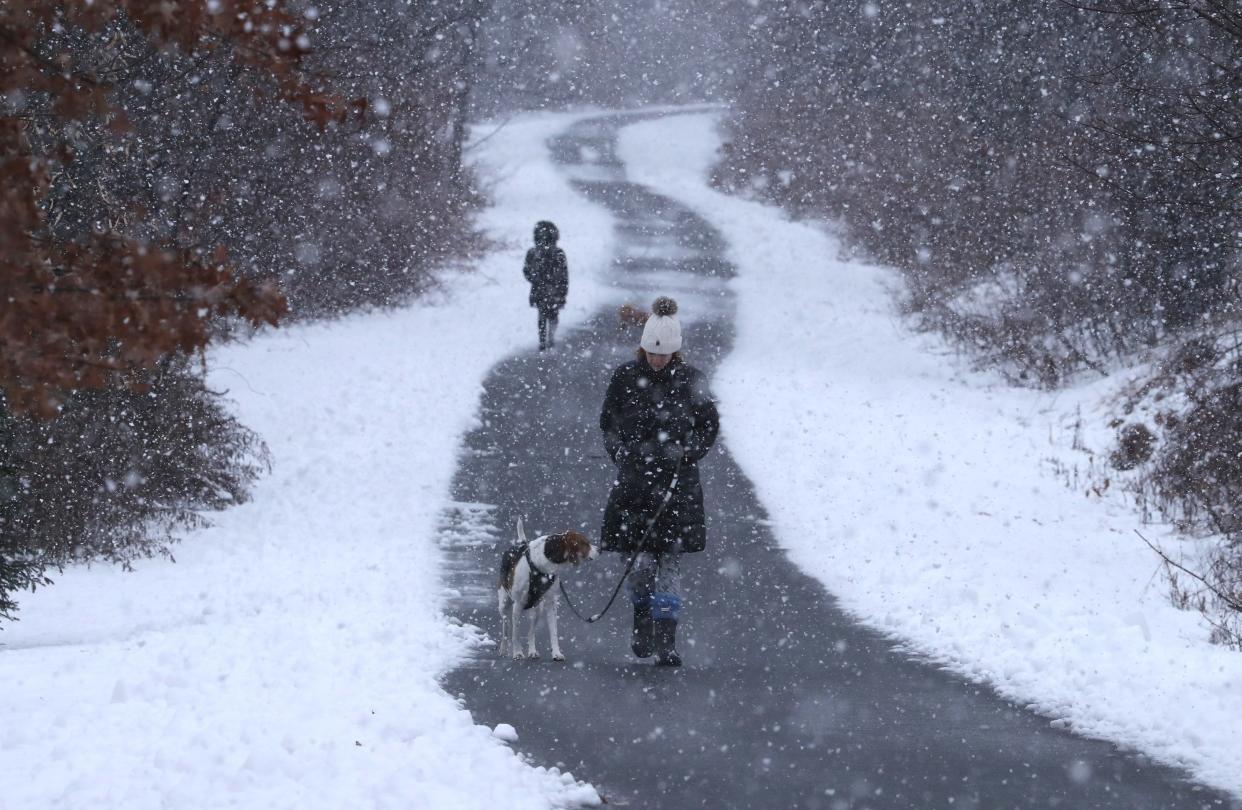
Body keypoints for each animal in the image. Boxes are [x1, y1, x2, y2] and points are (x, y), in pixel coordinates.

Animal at [496, 521, 598, 660]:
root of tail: (521, 542)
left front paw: (556, 653)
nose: (599, 550)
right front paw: (517, 652)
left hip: (538, 609)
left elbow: (554, 632)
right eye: (585, 543)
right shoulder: (518, 604)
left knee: (531, 632)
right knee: (506, 627)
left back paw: (532, 651)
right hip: (504, 606)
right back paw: (503, 649)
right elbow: (515, 633)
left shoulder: (551, 603)